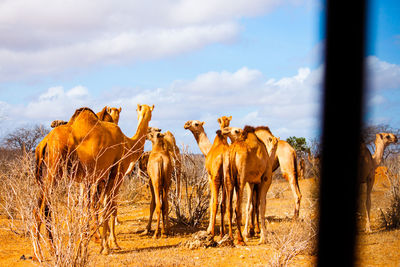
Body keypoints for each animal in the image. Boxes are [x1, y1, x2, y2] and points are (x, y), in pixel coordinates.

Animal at [34, 104, 153, 258]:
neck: (127, 142)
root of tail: (44, 142)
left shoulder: (98, 177)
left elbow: (96, 205)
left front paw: (101, 241)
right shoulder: (116, 172)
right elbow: (109, 207)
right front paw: (108, 245)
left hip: (46, 175)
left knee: (39, 207)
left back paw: (40, 252)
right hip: (55, 168)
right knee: (45, 208)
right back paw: (49, 250)